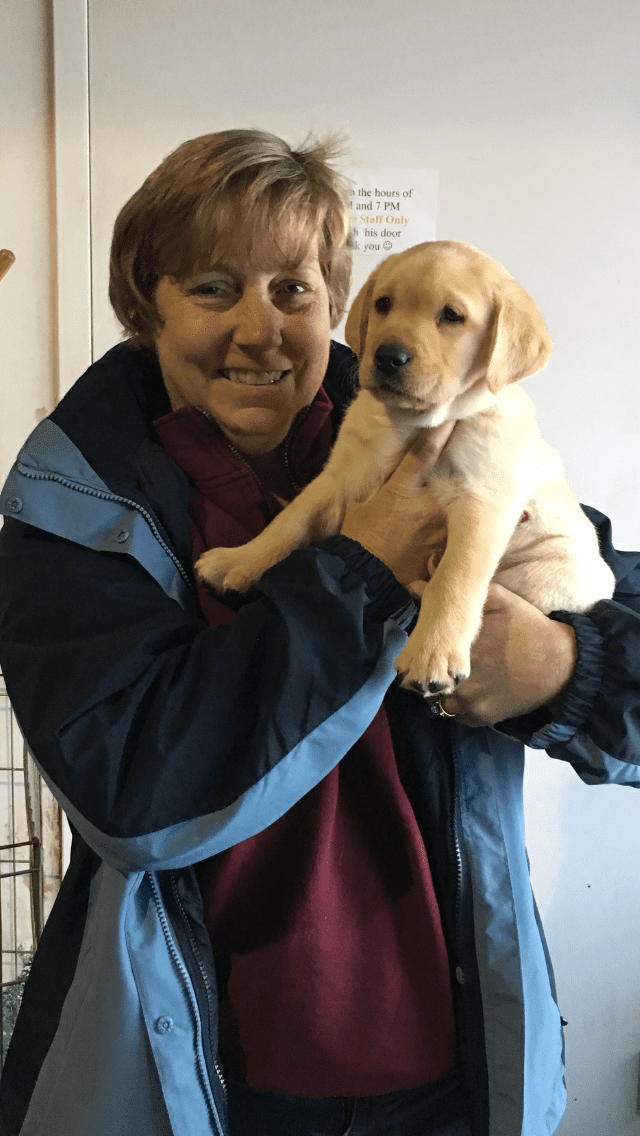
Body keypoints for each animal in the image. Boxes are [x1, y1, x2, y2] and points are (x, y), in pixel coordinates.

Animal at [196, 241, 613, 690]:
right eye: (383, 304)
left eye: (452, 316)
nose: (387, 357)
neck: (411, 423)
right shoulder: (338, 477)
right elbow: (289, 523)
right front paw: (236, 561)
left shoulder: (483, 504)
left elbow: (455, 576)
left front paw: (433, 653)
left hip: (555, 573)